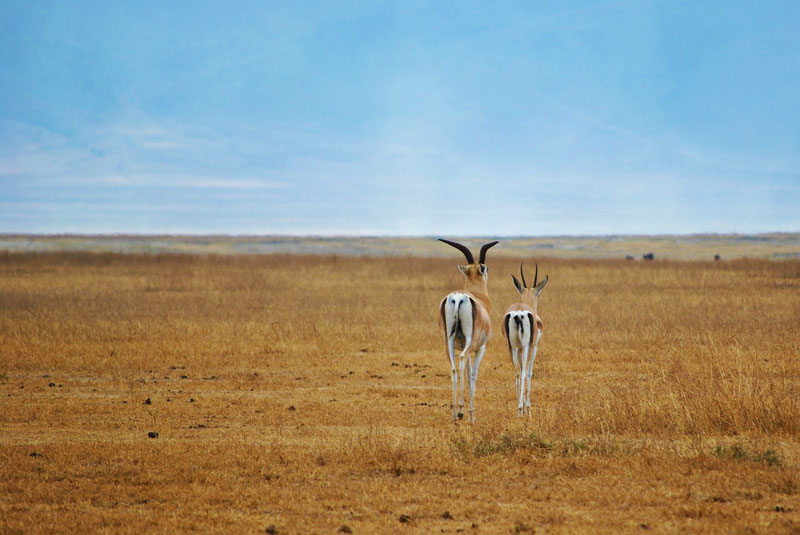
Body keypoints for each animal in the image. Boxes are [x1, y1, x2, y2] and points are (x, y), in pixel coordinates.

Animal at [438, 239, 500, 422]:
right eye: (486, 268)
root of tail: (459, 297)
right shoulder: (480, 347)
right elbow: (473, 374)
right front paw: (472, 415)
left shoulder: (462, 345)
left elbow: (466, 371)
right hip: (470, 344)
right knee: (462, 361)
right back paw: (460, 411)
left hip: (448, 343)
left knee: (453, 368)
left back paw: (453, 414)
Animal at [504, 262, 548, 416]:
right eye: (539, 294)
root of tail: (519, 313)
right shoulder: (534, 347)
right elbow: (529, 372)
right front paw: (527, 408)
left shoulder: (518, 348)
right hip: (526, 347)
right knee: (523, 372)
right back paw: (522, 408)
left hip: (511, 347)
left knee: (516, 372)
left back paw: (518, 409)